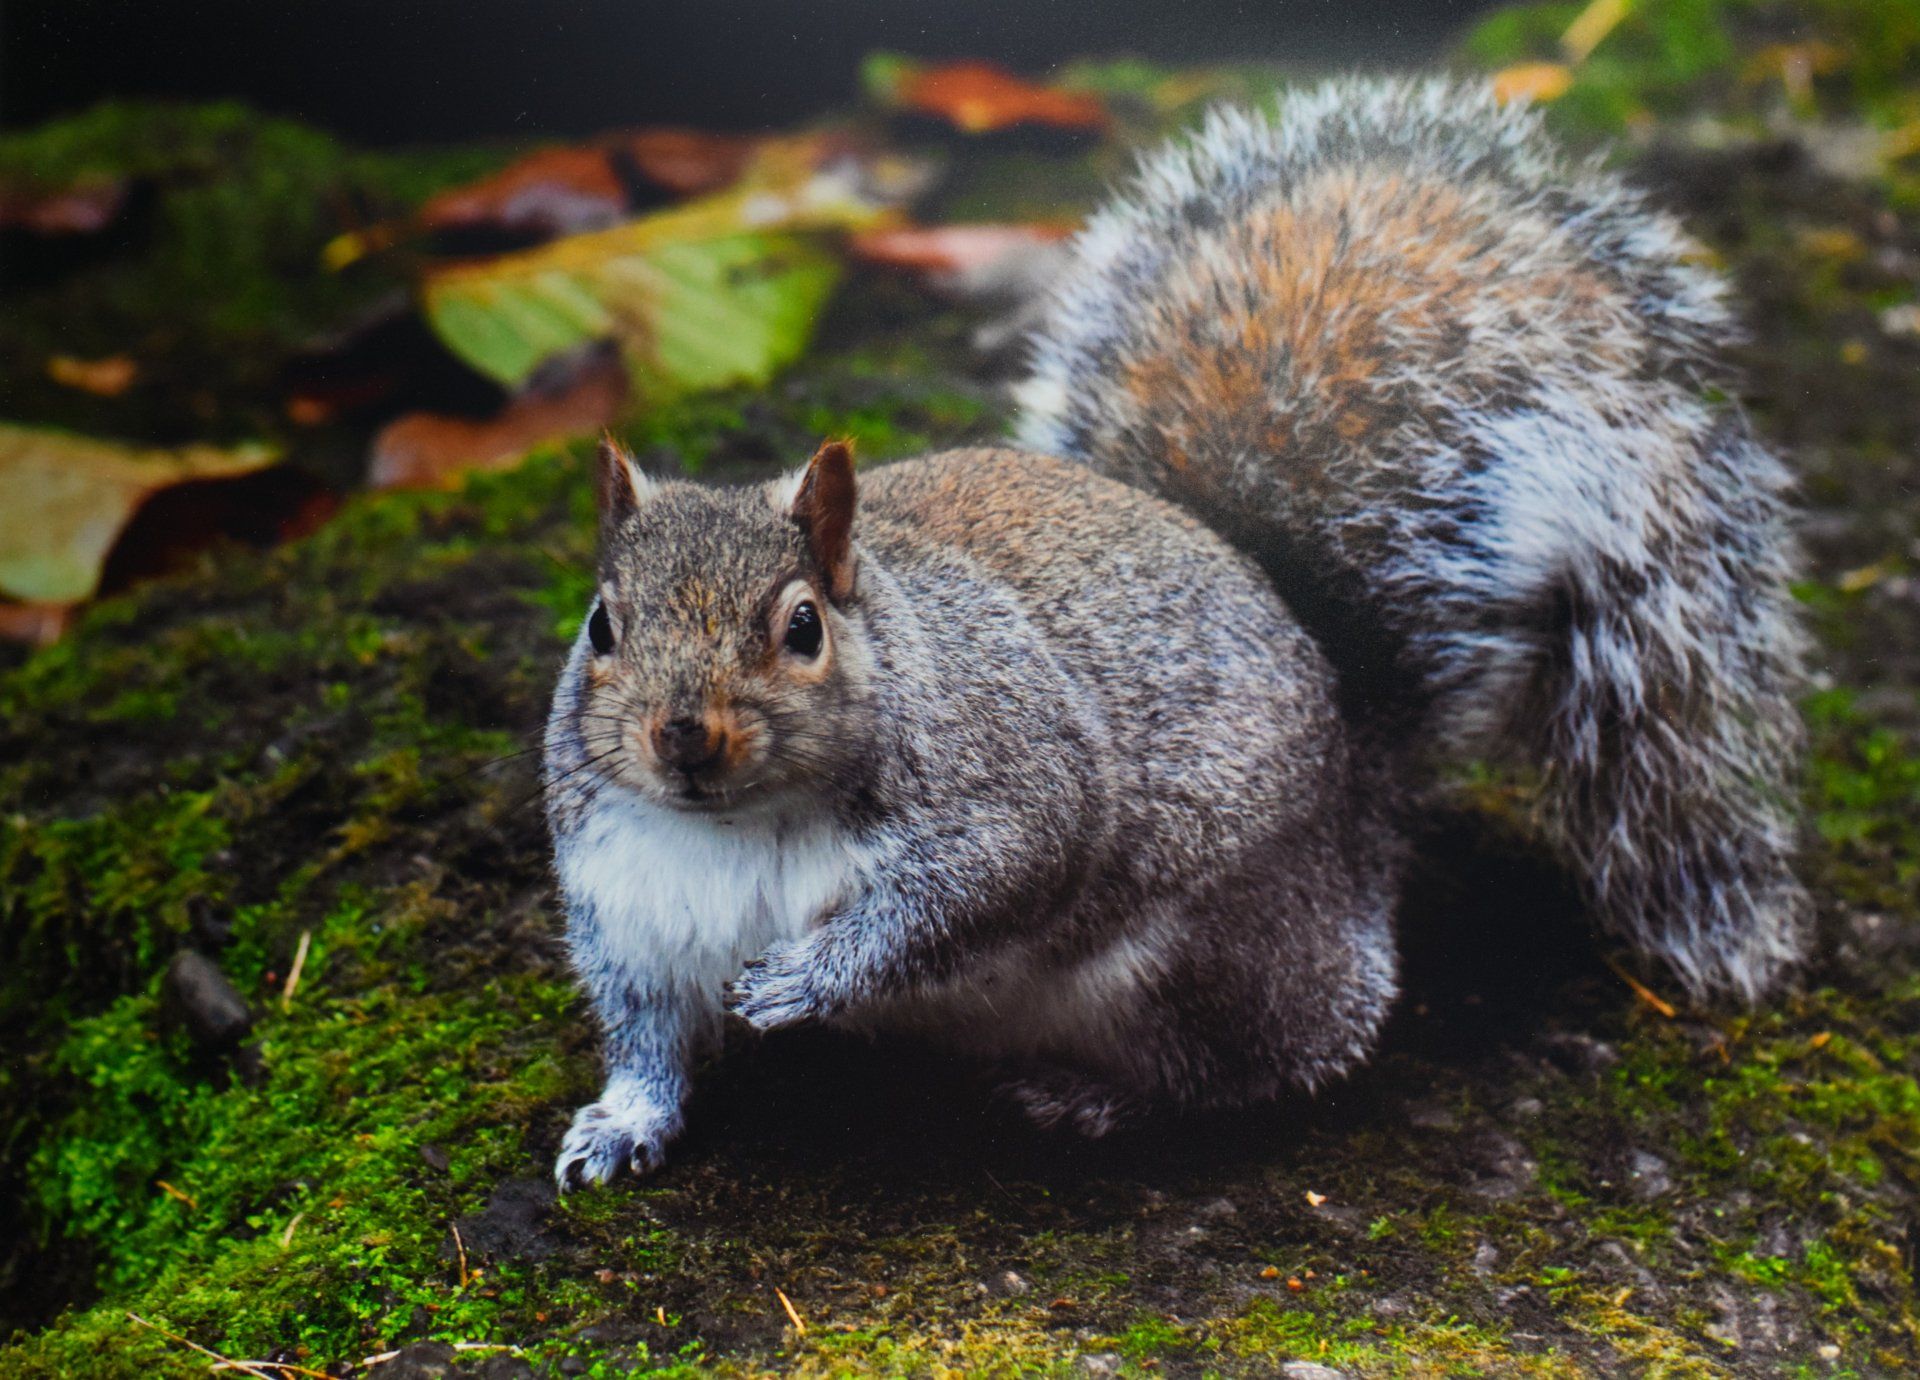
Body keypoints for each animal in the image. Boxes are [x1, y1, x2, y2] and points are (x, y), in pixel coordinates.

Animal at [547, 76, 1807, 1188]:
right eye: (602, 623)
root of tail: (1358, 790)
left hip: (1197, 966)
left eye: (803, 627)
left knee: (1271, 1061)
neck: (738, 830)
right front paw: (623, 1122)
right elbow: (649, 1037)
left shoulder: (1012, 791)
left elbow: (961, 897)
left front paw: (803, 982)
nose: (683, 738)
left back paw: (1098, 1097)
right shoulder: (626, 909)